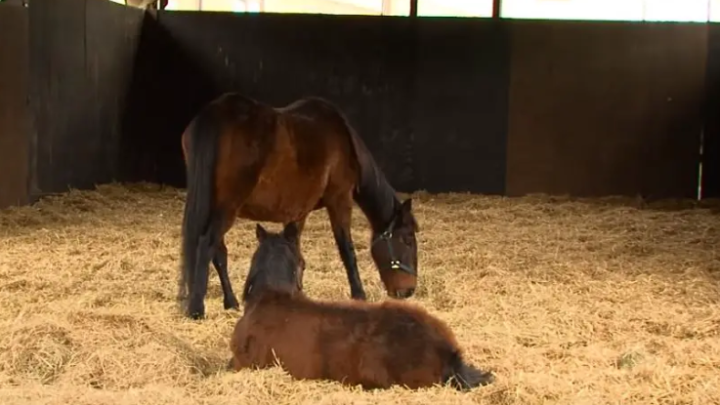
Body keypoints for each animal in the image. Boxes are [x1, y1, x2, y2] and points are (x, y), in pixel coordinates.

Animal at [179, 91, 422, 318]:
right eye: (407, 240)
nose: (409, 291)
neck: (344, 141)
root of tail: (215, 114)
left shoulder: (299, 211)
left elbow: (296, 252)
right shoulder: (340, 199)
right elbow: (347, 249)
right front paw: (359, 295)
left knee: (218, 253)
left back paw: (230, 302)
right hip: (226, 207)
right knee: (207, 245)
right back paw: (197, 308)